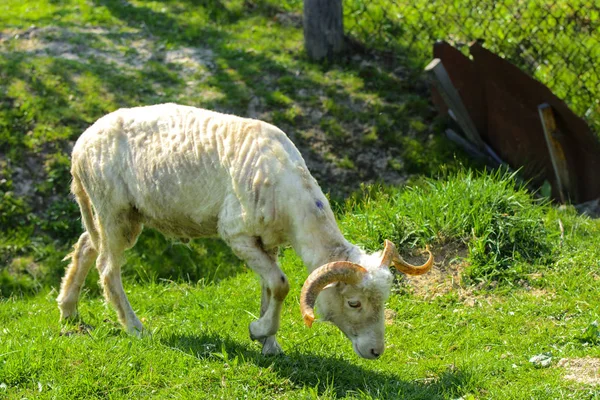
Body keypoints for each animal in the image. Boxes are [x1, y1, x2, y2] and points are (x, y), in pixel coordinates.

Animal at [56, 104, 432, 360]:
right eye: (353, 302)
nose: (376, 352)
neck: (291, 189)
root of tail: (79, 146)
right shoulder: (236, 234)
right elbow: (281, 284)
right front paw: (260, 331)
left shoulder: (268, 241)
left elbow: (269, 287)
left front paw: (269, 343)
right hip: (113, 208)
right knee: (107, 268)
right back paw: (135, 328)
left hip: (118, 213)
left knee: (86, 244)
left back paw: (68, 309)